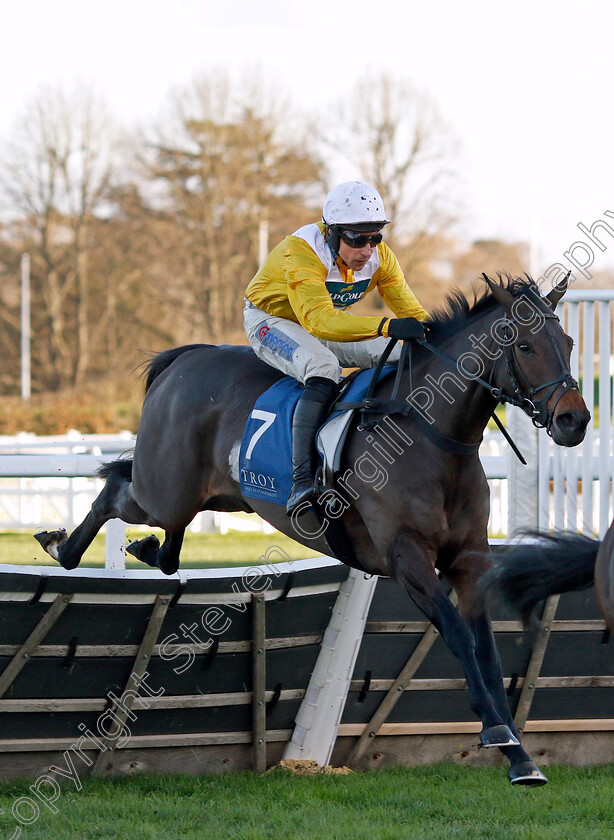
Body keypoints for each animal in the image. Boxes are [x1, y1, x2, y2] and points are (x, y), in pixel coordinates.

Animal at [35, 278, 592, 788]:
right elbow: (457, 635)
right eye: (525, 346)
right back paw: (64, 546)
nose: (575, 420)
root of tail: (185, 358)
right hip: (165, 487)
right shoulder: (407, 558)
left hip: (211, 494)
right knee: (116, 490)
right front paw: (498, 733)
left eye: (567, 343)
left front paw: (520, 755)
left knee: (163, 533)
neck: (432, 434)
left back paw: (148, 549)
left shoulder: (469, 560)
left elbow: (486, 647)